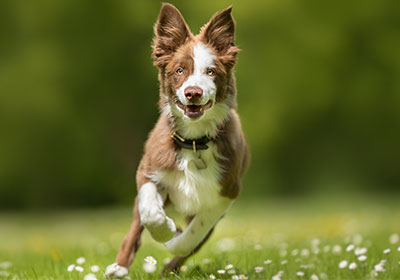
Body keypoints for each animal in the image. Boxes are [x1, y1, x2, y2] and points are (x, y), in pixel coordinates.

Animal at [104, 3, 248, 276]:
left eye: (211, 71)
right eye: (180, 70)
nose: (193, 93)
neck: (193, 141)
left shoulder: (226, 192)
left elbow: (192, 236)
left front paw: (175, 239)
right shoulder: (148, 170)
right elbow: (150, 212)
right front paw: (167, 230)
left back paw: (169, 267)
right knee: (134, 231)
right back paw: (119, 268)